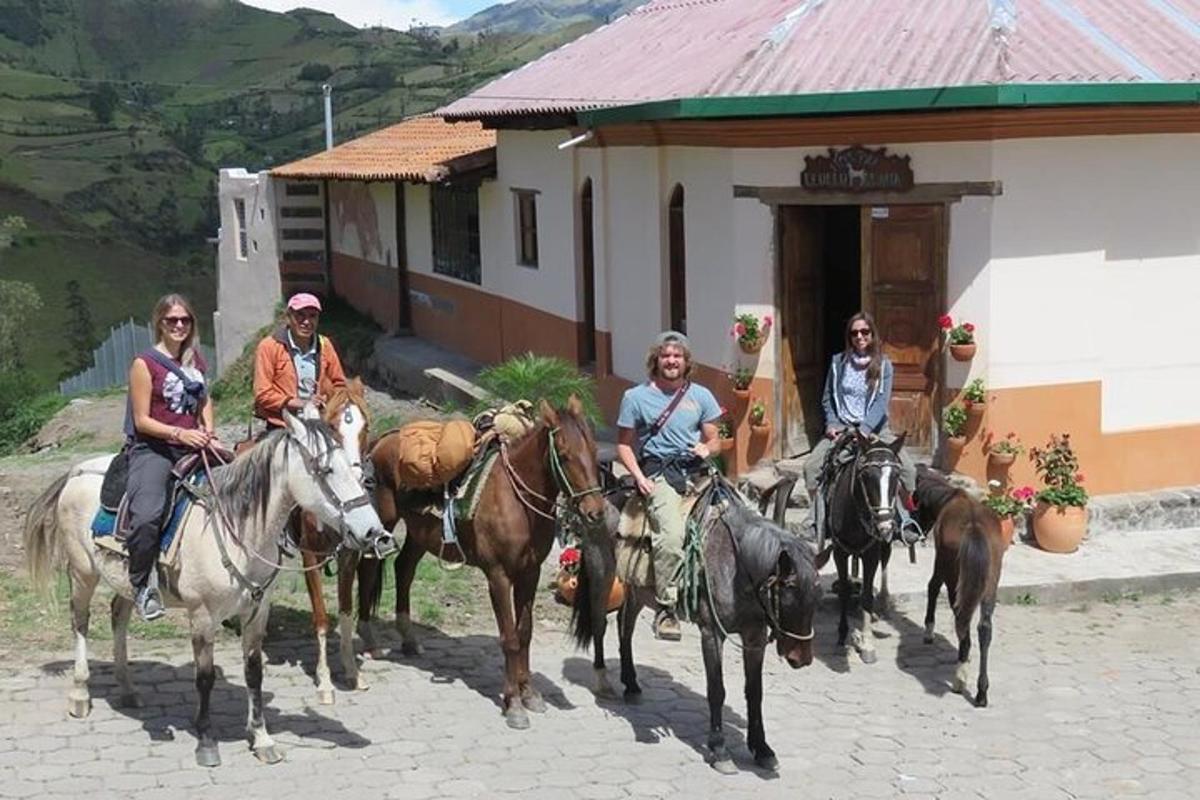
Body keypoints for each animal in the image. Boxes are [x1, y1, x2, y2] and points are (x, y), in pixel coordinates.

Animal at [23, 417, 391, 767]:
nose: (376, 533)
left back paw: (128, 688)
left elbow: (254, 674)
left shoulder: (257, 611)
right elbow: (204, 678)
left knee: (118, 615)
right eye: (325, 470)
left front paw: (262, 739)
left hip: (126, 579)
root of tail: (77, 471)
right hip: (82, 572)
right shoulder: (201, 616)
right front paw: (206, 741)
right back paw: (80, 695)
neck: (238, 528)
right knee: (80, 623)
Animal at [357, 398, 604, 729]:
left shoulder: (530, 573)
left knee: (404, 569)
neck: (517, 500)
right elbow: (509, 638)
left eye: (593, 450)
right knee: (368, 569)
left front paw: (529, 693)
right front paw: (513, 703)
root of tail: (381, 440)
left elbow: (525, 633)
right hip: (382, 523)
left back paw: (409, 639)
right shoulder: (498, 576)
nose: (595, 512)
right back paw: (369, 639)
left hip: (421, 534)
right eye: (564, 456)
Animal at [912, 465, 1008, 710]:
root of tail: (974, 527)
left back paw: (960, 678)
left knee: (962, 621)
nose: (916, 531)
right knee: (984, 628)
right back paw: (981, 692)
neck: (952, 498)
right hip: (989, 587)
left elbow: (932, 586)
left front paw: (928, 631)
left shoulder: (941, 563)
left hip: (955, 581)